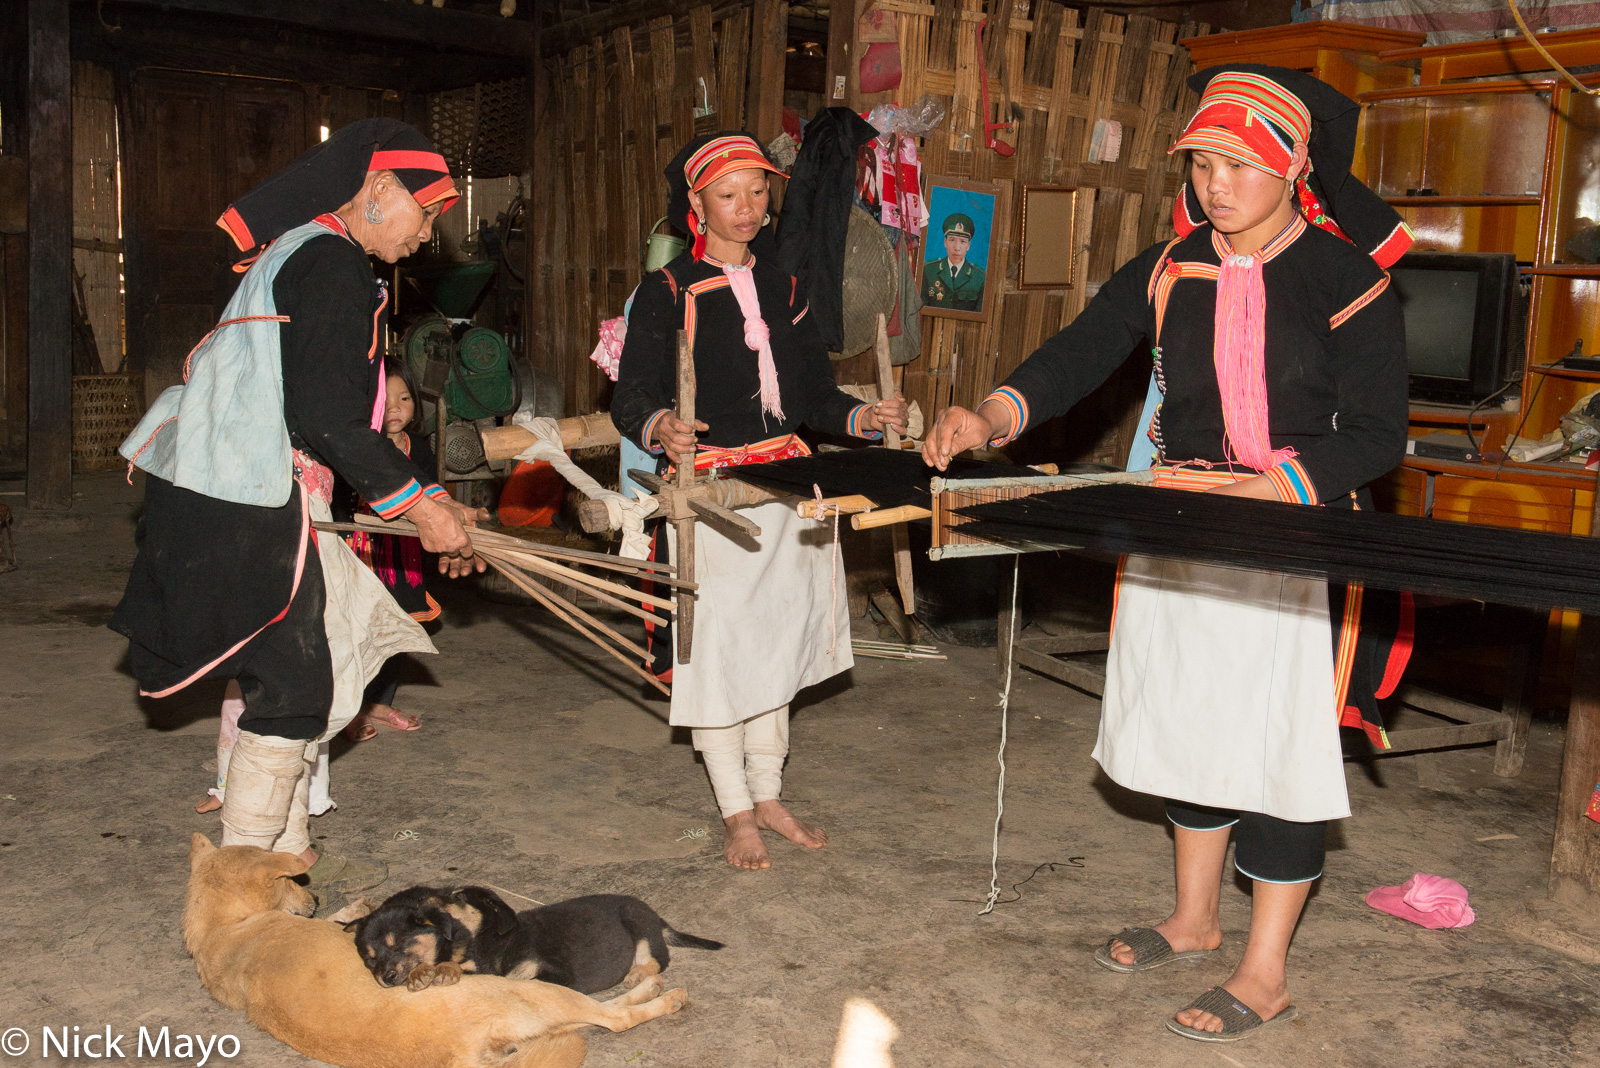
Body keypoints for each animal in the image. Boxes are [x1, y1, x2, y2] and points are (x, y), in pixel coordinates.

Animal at [184, 831, 684, 1068]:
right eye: (290, 880)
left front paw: (351, 909)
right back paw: (660, 993)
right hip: (531, 993)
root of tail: (461, 1054)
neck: (225, 930)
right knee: (613, 1016)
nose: (313, 899)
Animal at [355, 882, 726, 991]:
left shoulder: (557, 974)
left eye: (457, 897)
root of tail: (657, 916)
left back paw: (637, 974)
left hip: (639, 926)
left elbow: (521, 978)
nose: (421, 902)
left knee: (659, 960)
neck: (495, 939)